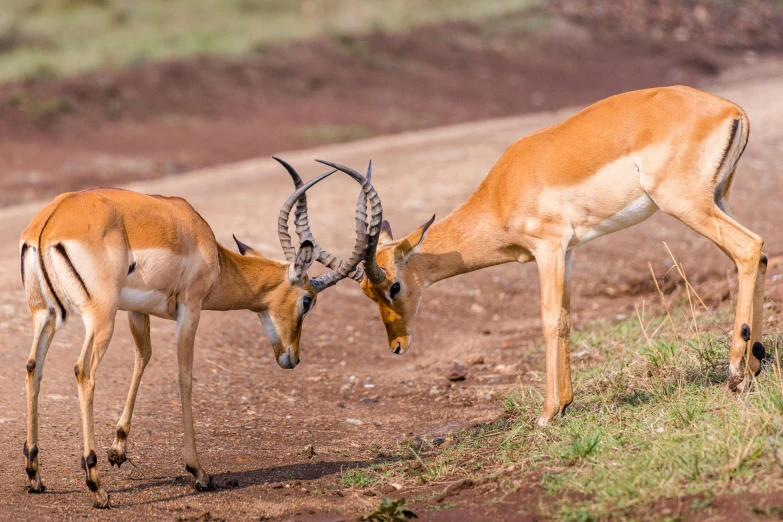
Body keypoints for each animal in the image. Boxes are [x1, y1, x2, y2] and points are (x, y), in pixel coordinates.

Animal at [19, 156, 382, 506]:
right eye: (308, 301)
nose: (292, 358)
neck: (205, 244)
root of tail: (50, 221)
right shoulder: (190, 308)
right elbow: (185, 378)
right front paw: (199, 473)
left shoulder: (136, 310)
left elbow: (144, 357)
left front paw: (118, 450)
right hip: (100, 317)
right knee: (84, 371)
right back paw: (96, 487)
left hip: (44, 314)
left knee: (34, 366)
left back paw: (35, 475)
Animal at [330, 86, 764, 426]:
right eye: (368, 292)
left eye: (394, 286)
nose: (397, 345)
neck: (501, 191)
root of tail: (731, 109)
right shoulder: (568, 251)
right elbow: (567, 319)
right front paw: (566, 404)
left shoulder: (548, 247)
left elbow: (550, 319)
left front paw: (547, 413)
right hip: (717, 199)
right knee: (757, 254)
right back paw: (755, 365)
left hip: (686, 205)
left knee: (748, 248)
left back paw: (735, 374)